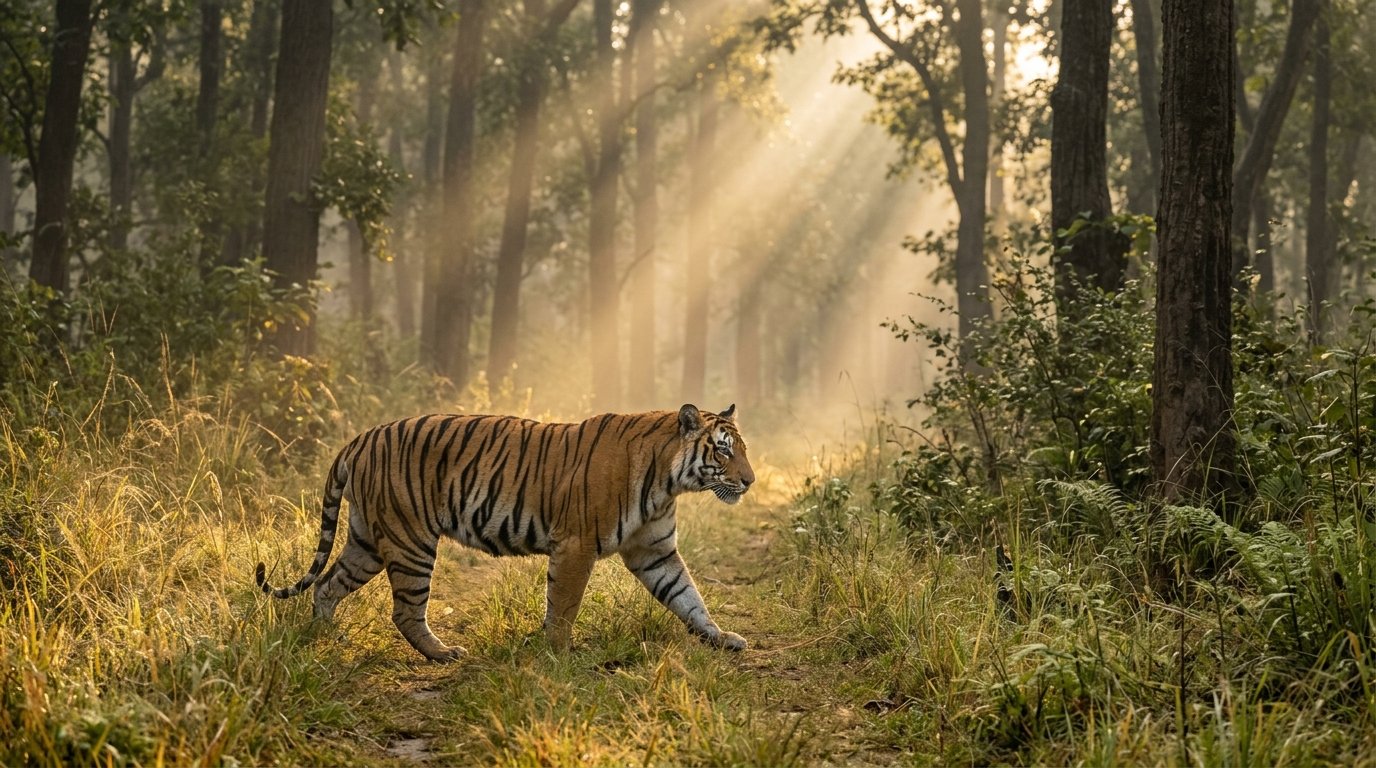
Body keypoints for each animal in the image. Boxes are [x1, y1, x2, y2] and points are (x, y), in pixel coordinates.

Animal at [255, 403, 754, 661]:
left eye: (742, 450)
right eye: (724, 451)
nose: (750, 481)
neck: (668, 482)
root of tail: (360, 438)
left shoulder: (654, 550)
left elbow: (688, 597)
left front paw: (721, 637)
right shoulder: (575, 547)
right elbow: (564, 606)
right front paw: (558, 654)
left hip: (368, 541)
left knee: (327, 584)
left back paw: (327, 638)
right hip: (409, 540)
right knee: (404, 610)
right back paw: (442, 653)